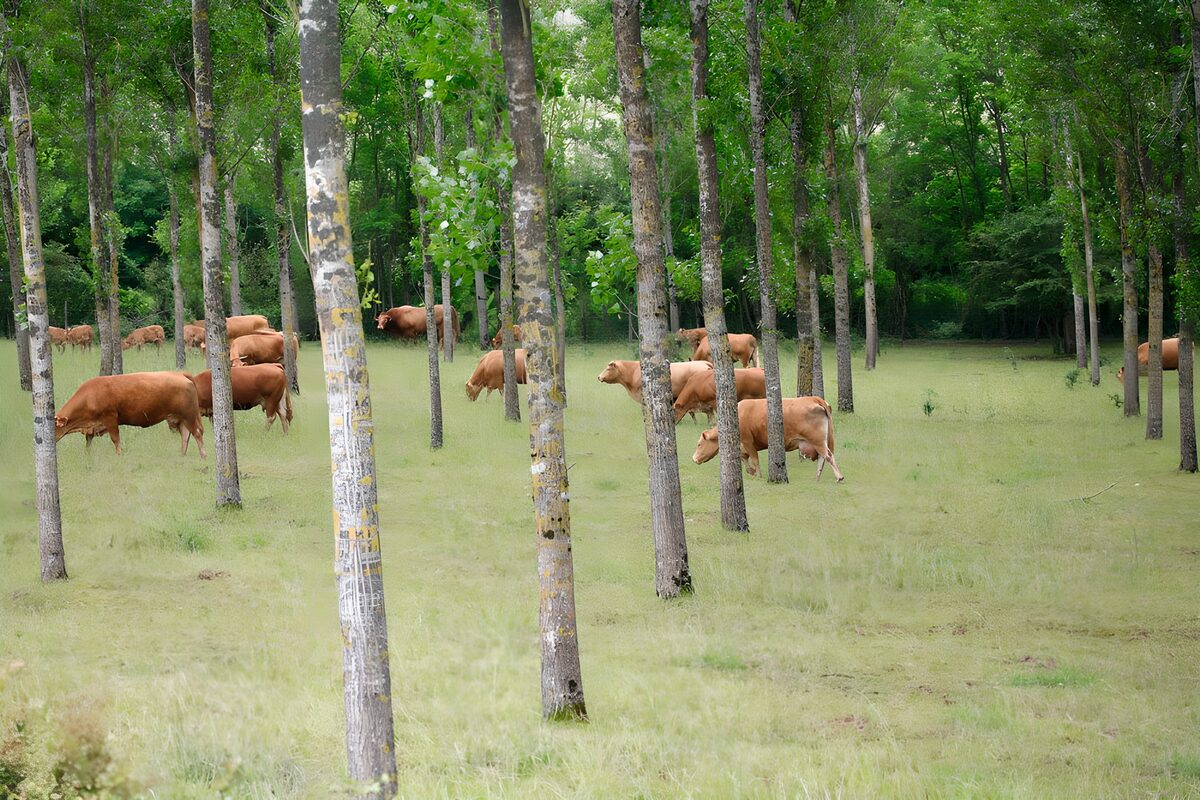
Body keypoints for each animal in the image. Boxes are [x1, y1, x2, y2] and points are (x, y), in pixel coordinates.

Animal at [54, 371, 206, 457]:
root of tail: (180, 374)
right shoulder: (91, 427)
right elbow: (88, 442)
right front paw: (87, 456)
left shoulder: (110, 418)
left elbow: (115, 439)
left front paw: (119, 456)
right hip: (180, 418)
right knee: (185, 435)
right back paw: (182, 455)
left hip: (189, 415)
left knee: (197, 433)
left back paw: (203, 455)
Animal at [692, 396, 843, 482]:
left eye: (699, 444)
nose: (694, 459)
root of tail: (813, 398)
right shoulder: (742, 447)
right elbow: (745, 459)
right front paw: (751, 472)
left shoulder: (748, 441)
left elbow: (754, 459)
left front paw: (758, 475)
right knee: (823, 457)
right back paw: (818, 477)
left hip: (817, 440)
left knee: (828, 456)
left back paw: (839, 477)